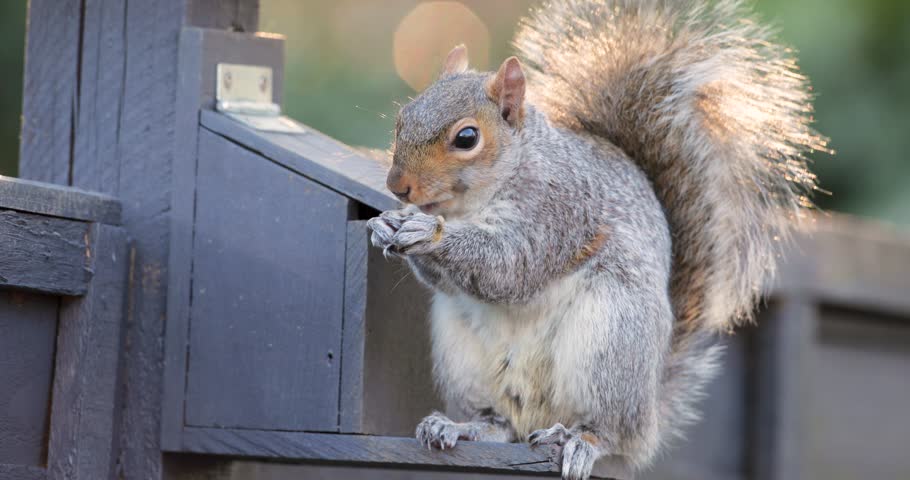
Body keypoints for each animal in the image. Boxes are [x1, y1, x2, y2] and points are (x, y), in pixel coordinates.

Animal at [367, 0, 827, 478]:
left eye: (467, 137)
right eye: (403, 118)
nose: (397, 185)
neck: (473, 203)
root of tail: (650, 412)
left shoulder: (560, 210)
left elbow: (510, 265)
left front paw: (428, 232)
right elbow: (446, 280)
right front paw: (388, 225)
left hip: (611, 344)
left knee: (608, 432)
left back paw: (577, 441)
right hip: (464, 358)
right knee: (502, 425)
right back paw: (461, 427)